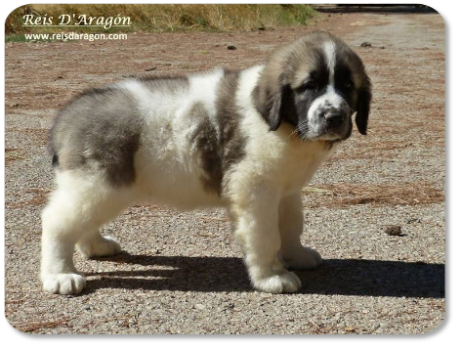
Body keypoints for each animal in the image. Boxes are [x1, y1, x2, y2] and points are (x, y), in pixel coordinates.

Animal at [39, 32, 370, 294]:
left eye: (347, 86)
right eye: (309, 86)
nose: (334, 116)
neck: (284, 125)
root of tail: (67, 115)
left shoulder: (285, 190)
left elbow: (291, 224)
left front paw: (296, 255)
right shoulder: (254, 189)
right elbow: (264, 234)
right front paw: (272, 276)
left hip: (97, 188)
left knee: (82, 220)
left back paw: (96, 246)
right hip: (99, 183)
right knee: (57, 221)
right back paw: (59, 275)